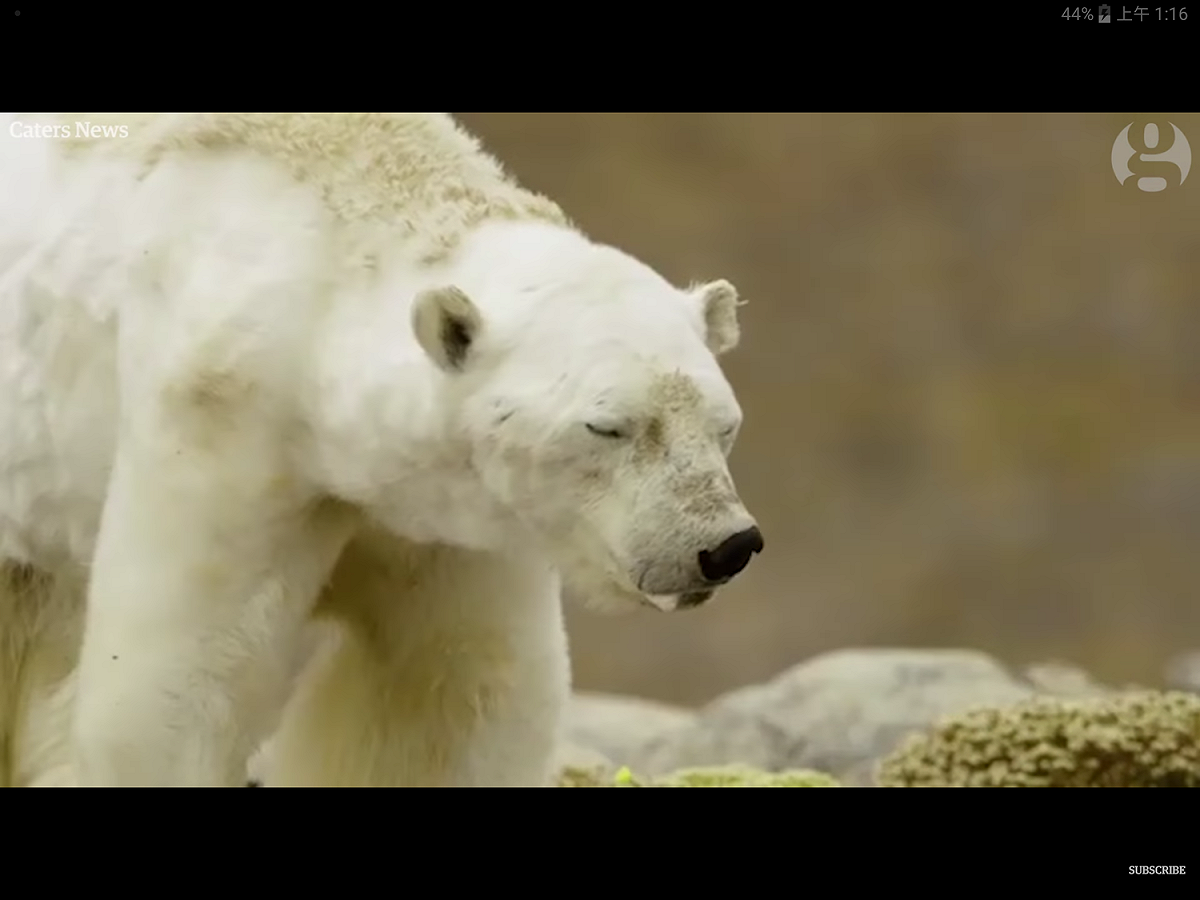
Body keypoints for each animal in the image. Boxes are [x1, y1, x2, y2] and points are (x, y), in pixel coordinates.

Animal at [0, 112, 763, 787]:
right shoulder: (224, 419)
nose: (724, 546)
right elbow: (177, 680)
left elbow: (450, 689)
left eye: (724, 424)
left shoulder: (441, 513)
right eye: (607, 426)